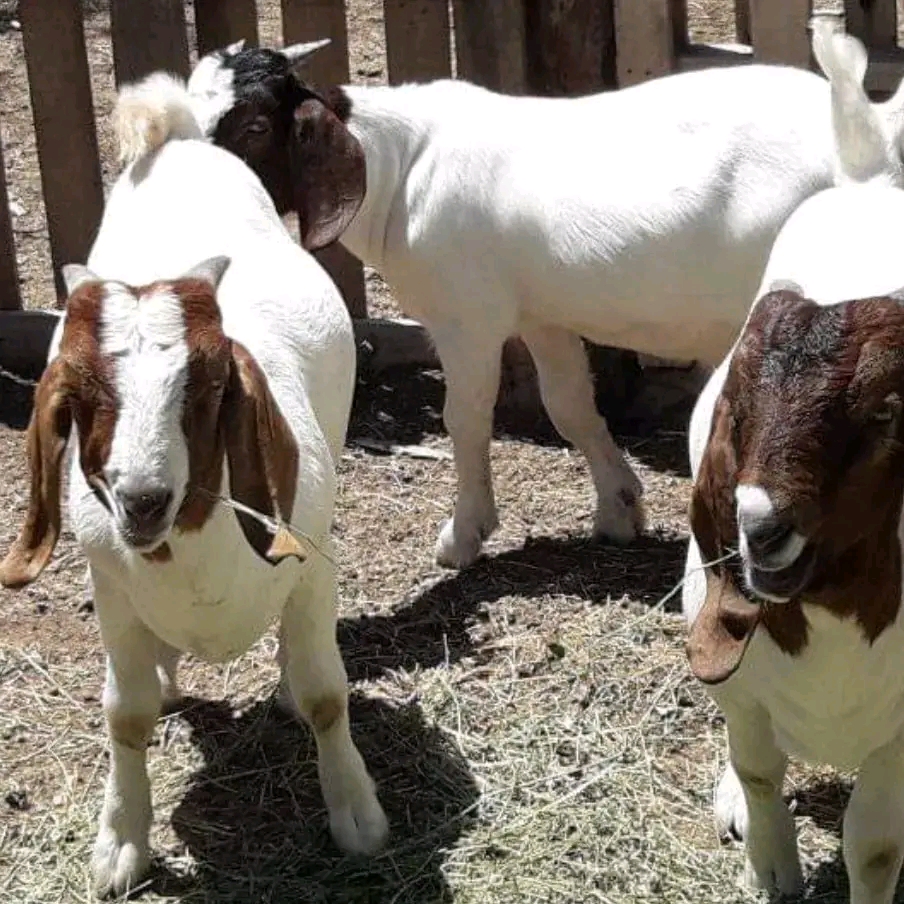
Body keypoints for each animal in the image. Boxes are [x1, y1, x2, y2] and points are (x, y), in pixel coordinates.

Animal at [0, 74, 387, 897]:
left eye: (207, 388)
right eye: (79, 396)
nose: (143, 500)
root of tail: (174, 138)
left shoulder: (310, 568)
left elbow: (325, 692)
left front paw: (357, 814)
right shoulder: (110, 587)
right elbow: (127, 713)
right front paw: (120, 845)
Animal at [175, 34, 904, 570]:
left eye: (256, 124)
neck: (397, 166)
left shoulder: (466, 318)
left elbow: (465, 419)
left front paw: (463, 536)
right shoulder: (543, 316)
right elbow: (570, 408)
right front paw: (618, 508)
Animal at [682, 18, 904, 903]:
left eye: (886, 412)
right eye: (736, 406)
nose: (760, 527)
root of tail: (872, 179)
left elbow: (874, 846)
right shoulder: (742, 687)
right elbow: (759, 767)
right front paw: (772, 866)